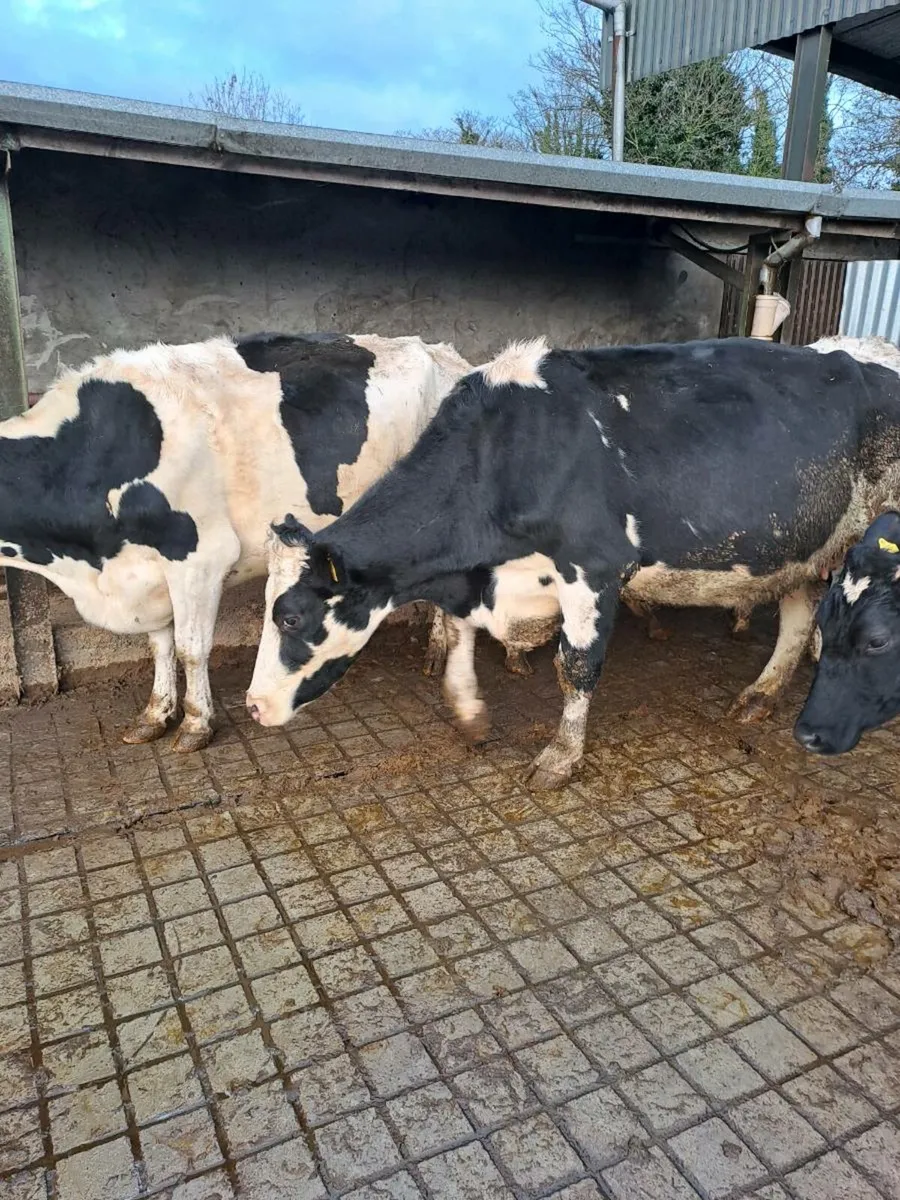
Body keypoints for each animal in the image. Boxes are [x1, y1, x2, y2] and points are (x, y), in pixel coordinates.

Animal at [0, 331, 475, 751]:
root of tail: (445, 352)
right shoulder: (147, 573)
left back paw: (439, 648)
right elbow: (159, 644)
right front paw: (155, 714)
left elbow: (191, 648)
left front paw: (195, 724)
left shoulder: (199, 559)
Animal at [245, 334, 900, 790]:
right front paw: (469, 712)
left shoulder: (592, 570)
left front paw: (560, 757)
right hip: (806, 543)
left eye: (290, 617)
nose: (252, 706)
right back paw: (760, 696)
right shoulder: (481, 579)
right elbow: (458, 635)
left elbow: (576, 668)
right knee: (800, 613)